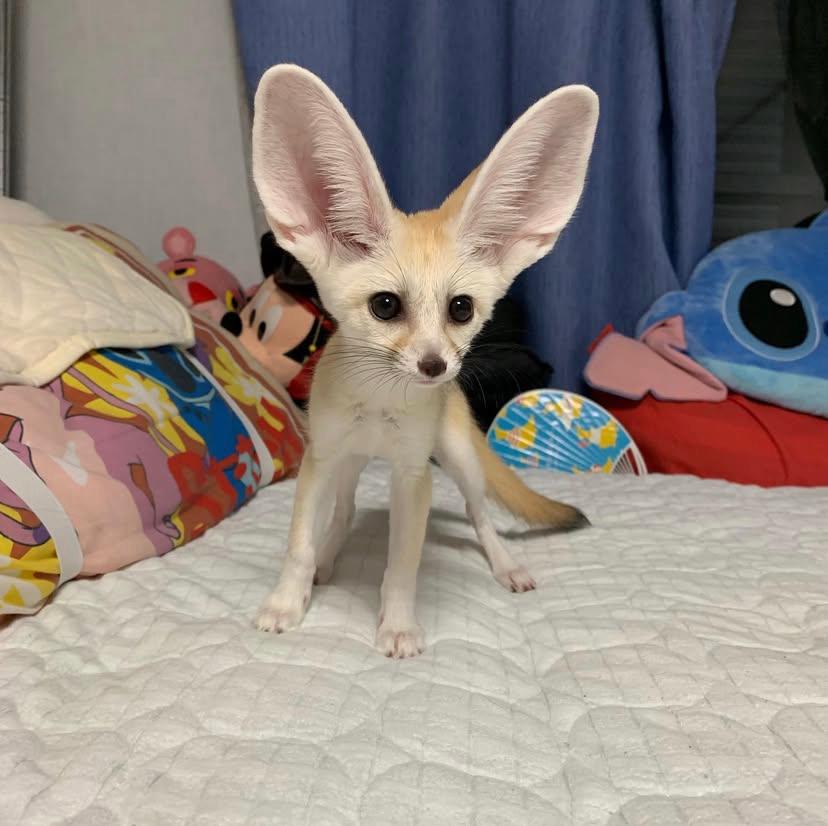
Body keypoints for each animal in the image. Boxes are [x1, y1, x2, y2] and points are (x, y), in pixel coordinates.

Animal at [251, 64, 599, 658]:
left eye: (461, 308)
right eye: (386, 306)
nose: (437, 368)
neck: (378, 405)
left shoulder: (413, 475)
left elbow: (402, 566)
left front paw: (396, 624)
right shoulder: (321, 457)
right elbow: (299, 546)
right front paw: (286, 602)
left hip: (457, 456)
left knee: (480, 515)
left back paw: (504, 563)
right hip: (349, 463)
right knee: (344, 512)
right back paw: (330, 555)